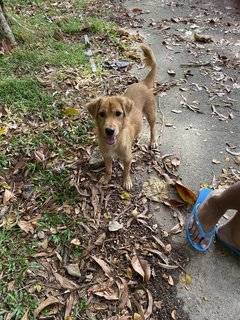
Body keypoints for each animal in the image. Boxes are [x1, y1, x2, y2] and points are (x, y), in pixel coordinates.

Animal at [86, 44, 158, 190]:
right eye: (101, 114)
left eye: (118, 113)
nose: (109, 131)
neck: (115, 143)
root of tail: (142, 83)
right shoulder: (106, 156)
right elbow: (108, 168)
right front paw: (106, 178)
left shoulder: (128, 158)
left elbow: (126, 170)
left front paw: (126, 181)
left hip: (151, 114)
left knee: (153, 128)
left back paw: (153, 141)